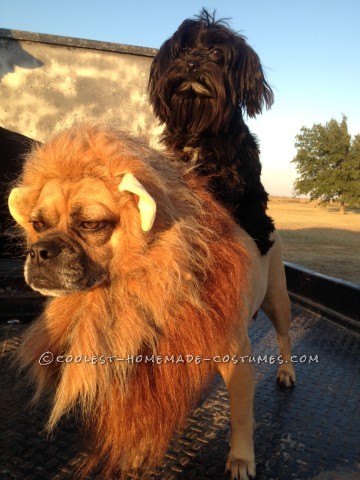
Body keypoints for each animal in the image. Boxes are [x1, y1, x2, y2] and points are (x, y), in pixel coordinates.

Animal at [9, 124, 296, 480]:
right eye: (38, 225)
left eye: (90, 224)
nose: (38, 251)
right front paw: (135, 454)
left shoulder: (238, 360)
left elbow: (241, 416)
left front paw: (242, 459)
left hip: (277, 301)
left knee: (284, 337)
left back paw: (287, 372)